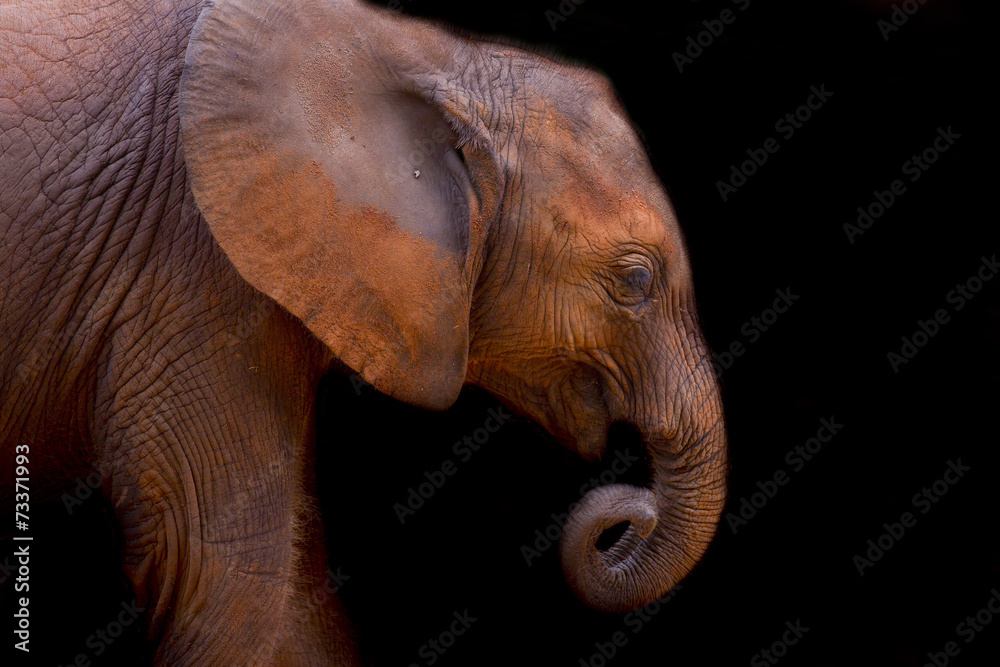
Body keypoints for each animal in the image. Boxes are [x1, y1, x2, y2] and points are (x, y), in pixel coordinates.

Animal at [0, 0, 728, 664]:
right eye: (634, 281)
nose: (626, 513)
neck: (436, 56)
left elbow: (293, 598)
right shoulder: (187, 262)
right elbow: (222, 565)